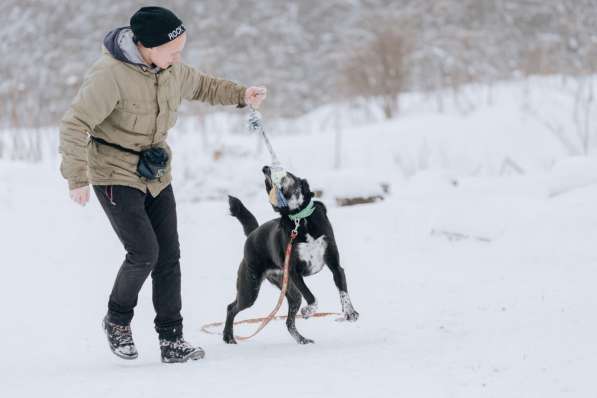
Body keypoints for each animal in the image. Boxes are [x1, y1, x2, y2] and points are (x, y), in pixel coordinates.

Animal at [221, 166, 356, 344]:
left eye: (284, 172)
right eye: (267, 184)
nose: (265, 168)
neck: (300, 219)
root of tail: (253, 233)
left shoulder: (335, 266)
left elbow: (343, 290)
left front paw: (350, 312)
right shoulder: (294, 272)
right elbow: (312, 297)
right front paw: (308, 310)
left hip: (291, 292)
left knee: (288, 322)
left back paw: (302, 340)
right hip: (250, 288)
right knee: (231, 307)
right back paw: (228, 336)